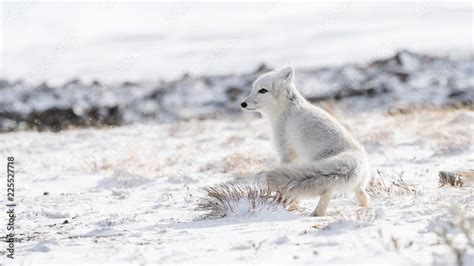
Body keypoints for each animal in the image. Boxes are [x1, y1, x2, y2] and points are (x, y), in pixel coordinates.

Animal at [241, 66, 370, 216]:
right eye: (253, 88)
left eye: (262, 90)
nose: (243, 103)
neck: (285, 108)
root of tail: (356, 159)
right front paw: (292, 204)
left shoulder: (287, 152)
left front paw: (283, 201)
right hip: (355, 183)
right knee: (363, 194)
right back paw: (363, 209)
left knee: (327, 192)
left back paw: (316, 214)